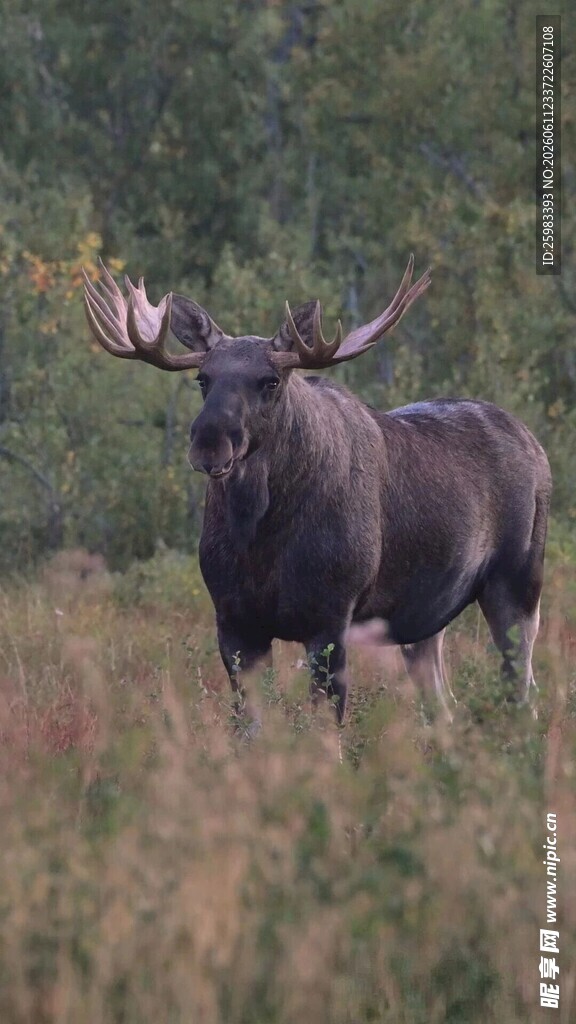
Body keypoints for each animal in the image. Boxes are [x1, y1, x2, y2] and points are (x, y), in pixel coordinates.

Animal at [82, 256, 551, 728]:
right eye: (203, 378)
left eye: (271, 380)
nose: (209, 442)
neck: (260, 537)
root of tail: (534, 443)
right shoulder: (234, 621)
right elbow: (251, 726)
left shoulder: (331, 616)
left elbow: (325, 727)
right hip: (424, 617)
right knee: (444, 705)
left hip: (517, 583)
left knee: (524, 694)